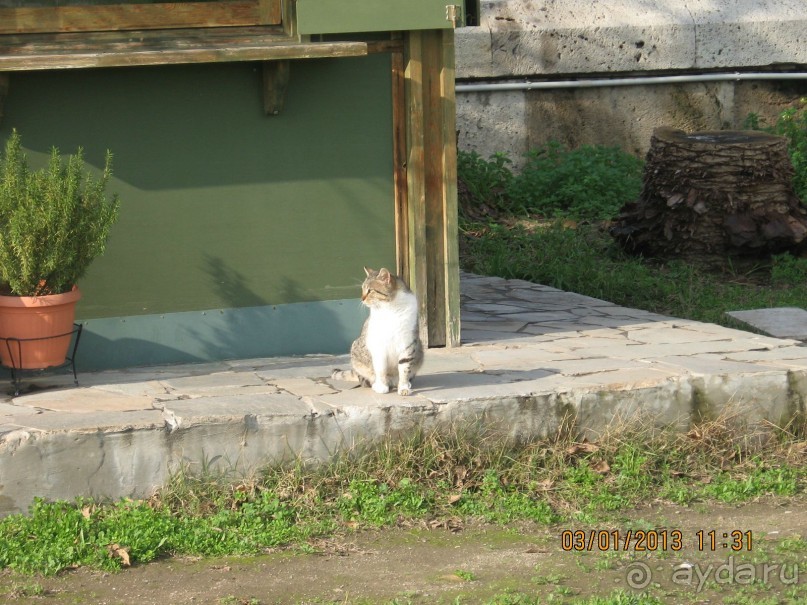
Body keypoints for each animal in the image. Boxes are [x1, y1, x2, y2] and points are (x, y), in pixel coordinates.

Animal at [332, 266, 426, 394]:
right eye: (362, 289)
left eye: (370, 290)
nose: (362, 299)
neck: (391, 308)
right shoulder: (379, 345)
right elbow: (381, 368)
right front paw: (382, 387)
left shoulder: (408, 342)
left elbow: (404, 368)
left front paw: (403, 387)